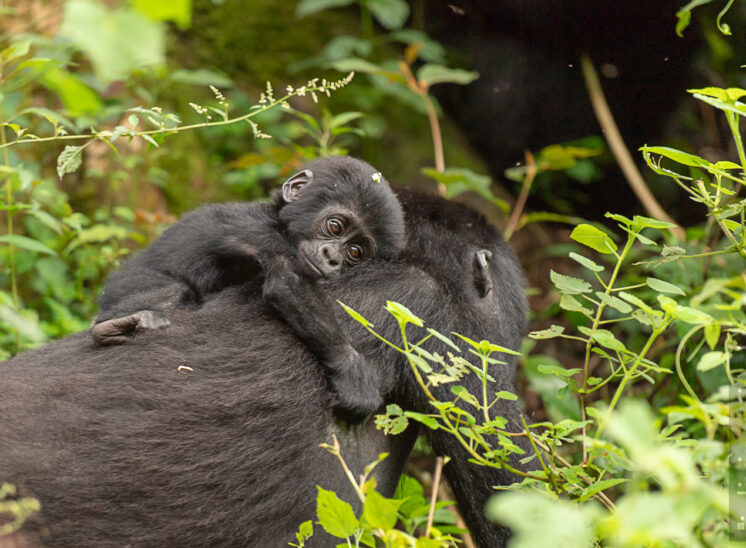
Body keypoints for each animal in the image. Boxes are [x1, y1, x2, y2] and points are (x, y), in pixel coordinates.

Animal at [93, 156, 406, 422]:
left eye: (355, 252)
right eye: (335, 226)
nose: (333, 258)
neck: (280, 220)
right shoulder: (260, 231)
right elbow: (287, 283)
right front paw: (350, 370)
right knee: (172, 294)